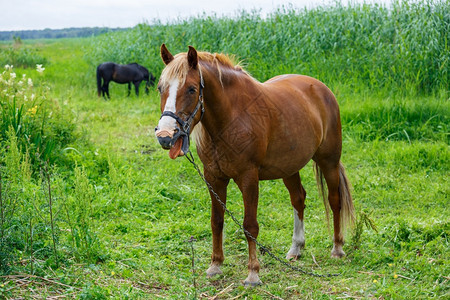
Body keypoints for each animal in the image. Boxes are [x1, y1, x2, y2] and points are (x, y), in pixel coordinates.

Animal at [155, 44, 356, 286]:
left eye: (192, 89)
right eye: (160, 88)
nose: (166, 136)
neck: (230, 119)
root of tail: (321, 89)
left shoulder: (248, 178)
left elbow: (250, 225)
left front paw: (253, 273)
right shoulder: (214, 178)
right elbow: (216, 221)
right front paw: (215, 265)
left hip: (329, 161)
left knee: (334, 200)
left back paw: (337, 248)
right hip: (289, 168)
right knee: (298, 199)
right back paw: (296, 248)